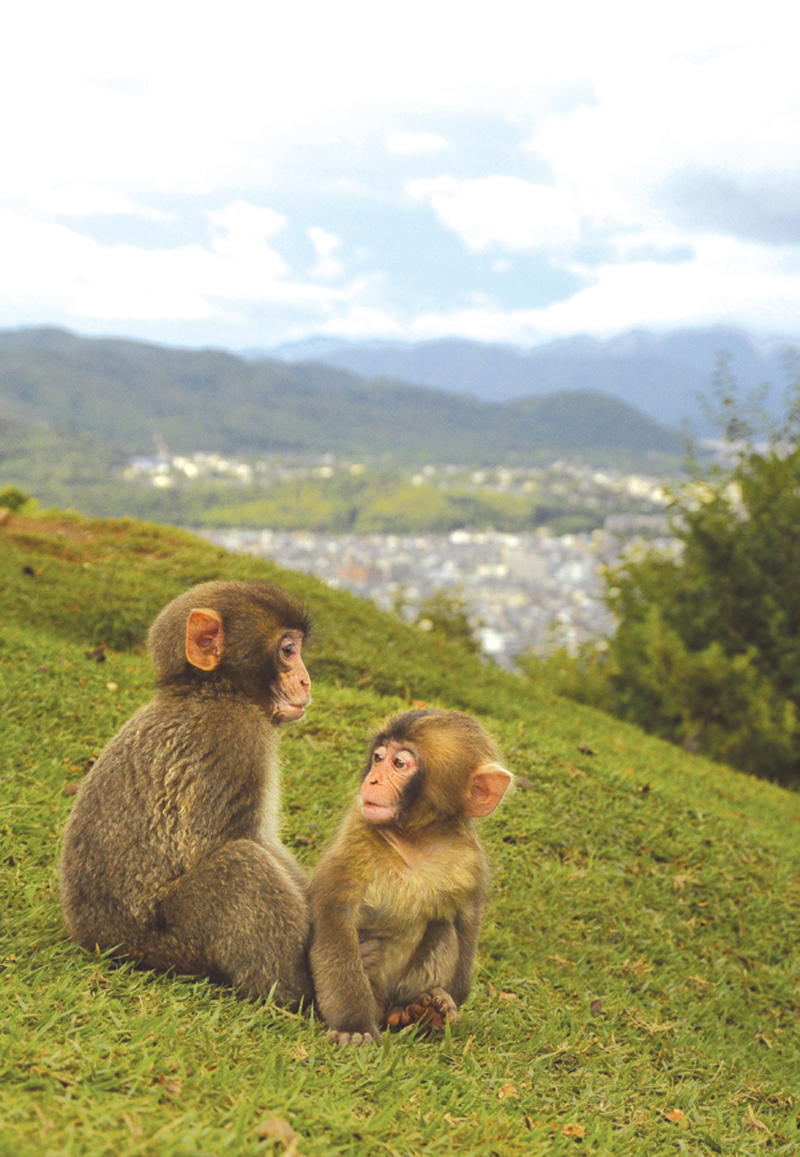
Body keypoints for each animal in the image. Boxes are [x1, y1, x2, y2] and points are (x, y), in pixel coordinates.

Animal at [59, 578, 314, 1004]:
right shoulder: (237, 737)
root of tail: (99, 938)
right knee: (243, 865)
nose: (307, 680)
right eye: (288, 650)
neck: (211, 690)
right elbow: (235, 841)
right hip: (175, 942)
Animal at [310, 708, 509, 1045]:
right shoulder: (357, 838)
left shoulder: (470, 862)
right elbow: (334, 916)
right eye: (378, 757)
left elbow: (467, 920)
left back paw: (415, 1010)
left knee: (443, 926)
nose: (373, 779)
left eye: (399, 764)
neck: (416, 839)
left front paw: (448, 999)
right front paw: (354, 1024)